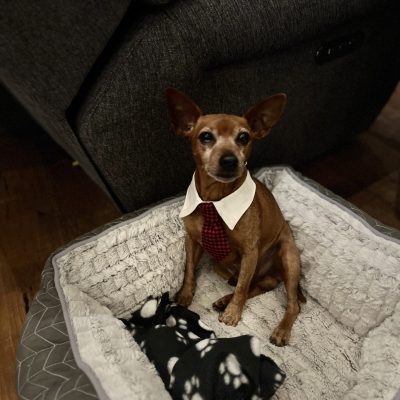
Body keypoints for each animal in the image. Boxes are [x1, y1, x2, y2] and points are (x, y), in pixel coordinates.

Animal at [166, 88, 305, 346]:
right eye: (205, 136)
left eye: (243, 137)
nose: (230, 160)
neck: (215, 200)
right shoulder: (192, 241)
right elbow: (190, 270)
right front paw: (185, 294)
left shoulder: (250, 253)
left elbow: (242, 287)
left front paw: (232, 313)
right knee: (258, 284)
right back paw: (225, 297)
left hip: (289, 259)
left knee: (292, 304)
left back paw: (280, 330)